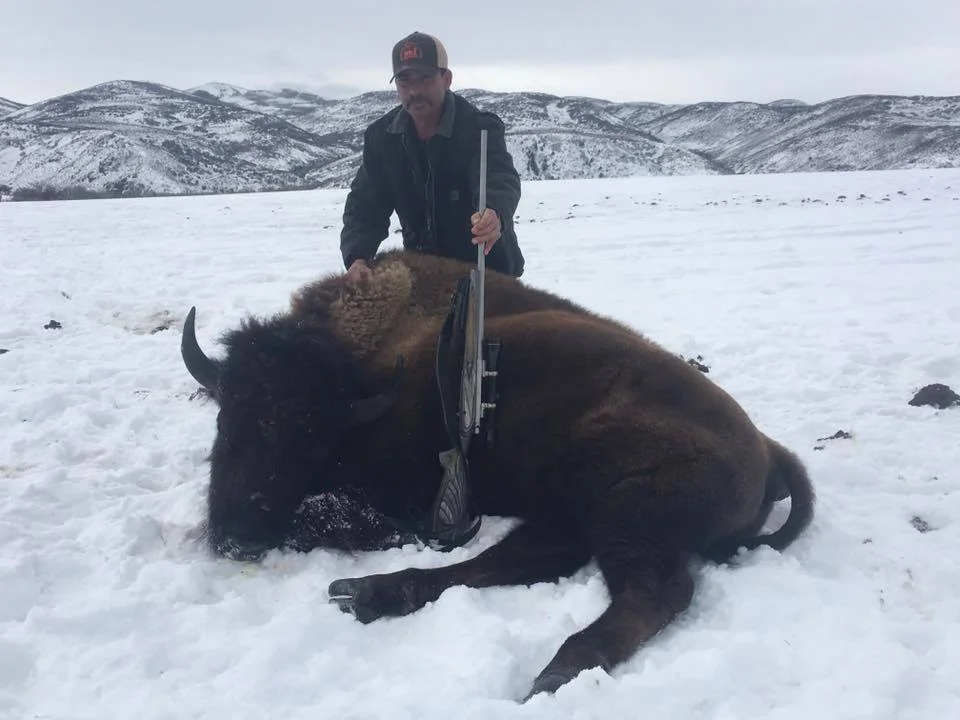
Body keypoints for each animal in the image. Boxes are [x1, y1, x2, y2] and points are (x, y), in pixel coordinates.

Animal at [181, 249, 815, 700]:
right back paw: (371, 594)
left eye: (310, 436)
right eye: (226, 417)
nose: (237, 537)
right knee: (509, 561)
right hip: (573, 512)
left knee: (652, 589)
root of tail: (767, 449)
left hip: (620, 502)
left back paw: (555, 672)